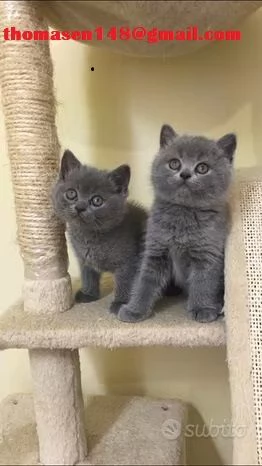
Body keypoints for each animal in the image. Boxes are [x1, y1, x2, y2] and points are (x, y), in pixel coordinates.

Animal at [52, 151, 148, 314]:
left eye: (97, 200)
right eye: (71, 194)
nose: (80, 207)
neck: (89, 236)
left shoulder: (128, 262)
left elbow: (125, 282)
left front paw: (120, 303)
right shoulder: (84, 259)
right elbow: (88, 276)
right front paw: (89, 294)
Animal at [117, 123, 236, 324]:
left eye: (202, 168)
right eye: (174, 163)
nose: (185, 174)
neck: (183, 213)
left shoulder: (207, 253)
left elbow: (203, 282)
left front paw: (202, 309)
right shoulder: (156, 250)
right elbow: (144, 281)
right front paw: (135, 310)